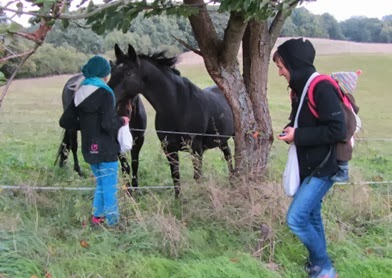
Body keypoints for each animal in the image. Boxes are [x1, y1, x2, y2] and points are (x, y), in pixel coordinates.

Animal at [108, 44, 234, 195]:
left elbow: (197, 177)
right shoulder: (169, 150)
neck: (178, 106)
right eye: (112, 71)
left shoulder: (196, 150)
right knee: (228, 156)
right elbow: (176, 177)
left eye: (129, 73)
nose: (107, 93)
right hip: (222, 140)